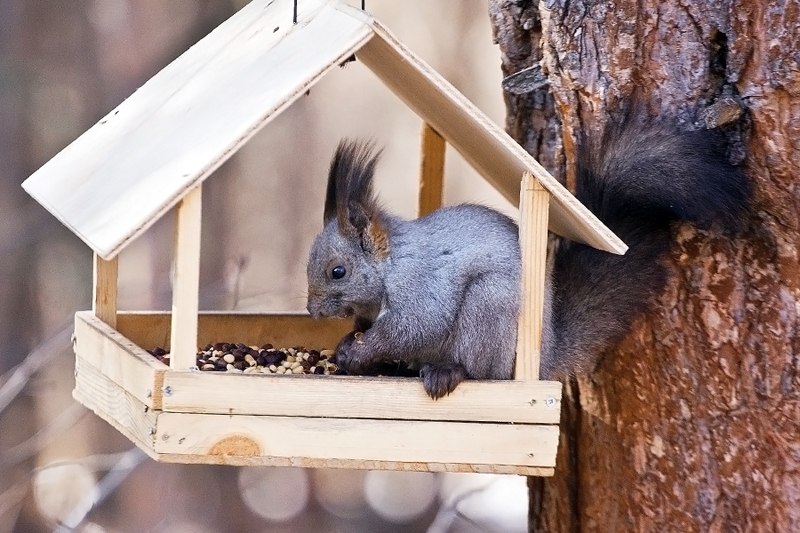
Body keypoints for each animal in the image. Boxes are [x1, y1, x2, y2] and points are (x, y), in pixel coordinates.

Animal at [304, 112, 752, 400]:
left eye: (338, 271)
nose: (311, 311)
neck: (388, 266)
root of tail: (548, 354)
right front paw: (347, 344)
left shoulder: (421, 285)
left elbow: (413, 327)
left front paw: (359, 351)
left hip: (491, 308)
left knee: (483, 373)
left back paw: (448, 371)